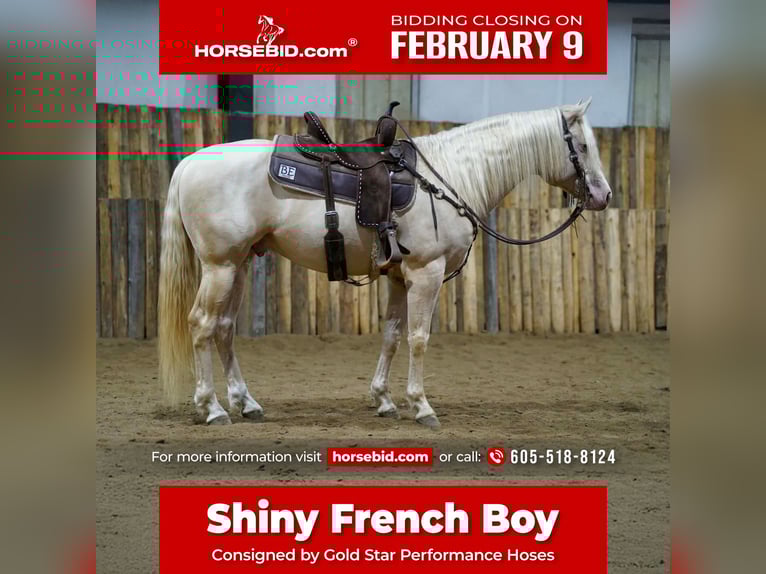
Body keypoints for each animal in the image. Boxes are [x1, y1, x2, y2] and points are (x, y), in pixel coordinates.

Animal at [157, 98, 612, 428]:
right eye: (582, 146)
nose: (603, 195)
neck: (451, 177)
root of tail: (188, 163)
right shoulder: (426, 274)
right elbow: (418, 338)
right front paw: (422, 406)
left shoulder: (397, 277)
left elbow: (392, 335)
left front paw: (384, 400)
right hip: (220, 267)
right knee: (202, 324)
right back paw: (212, 408)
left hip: (239, 265)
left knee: (224, 328)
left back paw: (245, 402)